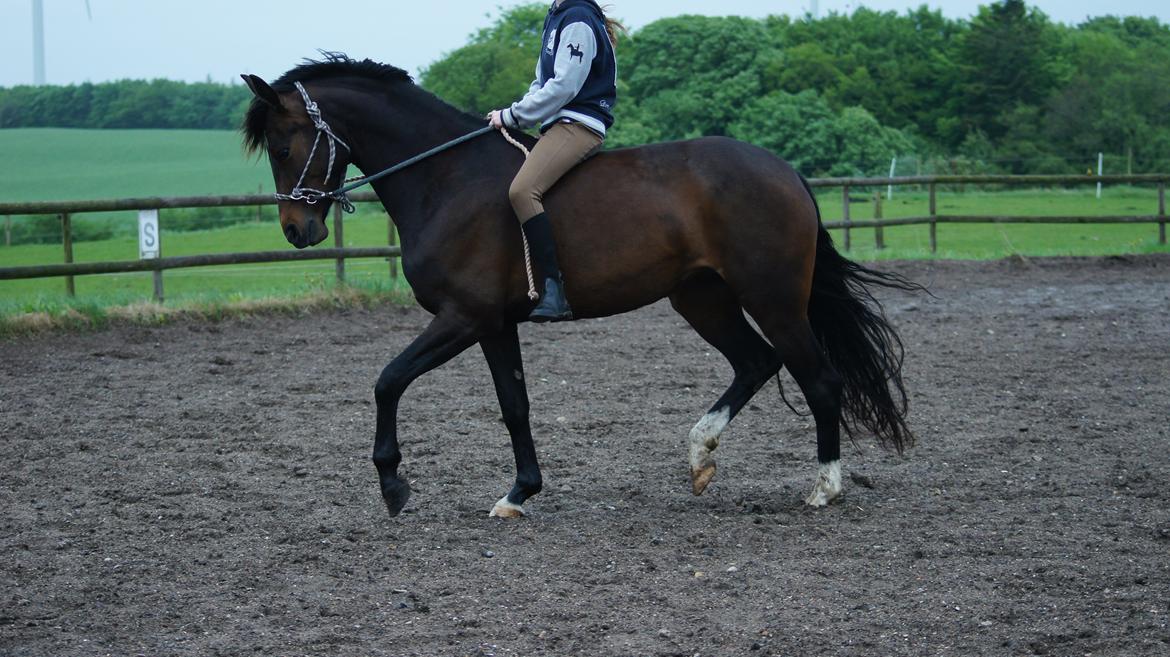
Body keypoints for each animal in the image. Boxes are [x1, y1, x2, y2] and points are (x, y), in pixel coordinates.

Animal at [239, 56, 912, 516]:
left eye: (282, 145)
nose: (298, 230)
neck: (445, 178)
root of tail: (785, 172)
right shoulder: (493, 325)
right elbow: (513, 405)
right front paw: (518, 494)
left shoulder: (462, 317)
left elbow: (387, 381)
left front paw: (393, 485)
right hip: (701, 298)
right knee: (756, 363)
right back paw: (700, 455)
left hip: (773, 300)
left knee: (818, 379)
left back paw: (823, 488)